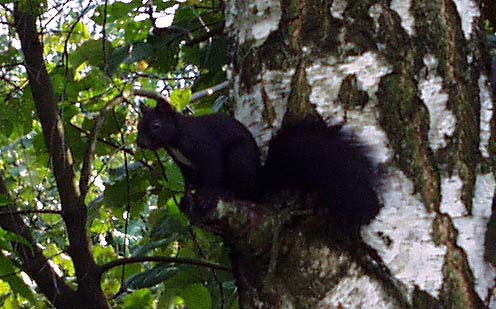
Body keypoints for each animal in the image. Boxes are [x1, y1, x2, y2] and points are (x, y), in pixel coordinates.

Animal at [136, 98, 380, 231]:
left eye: (156, 125)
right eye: (139, 126)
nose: (140, 143)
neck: (176, 138)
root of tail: (259, 182)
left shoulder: (206, 149)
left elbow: (212, 174)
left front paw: (207, 196)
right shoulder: (185, 166)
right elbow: (189, 183)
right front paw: (187, 198)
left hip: (238, 158)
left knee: (246, 192)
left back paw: (231, 193)